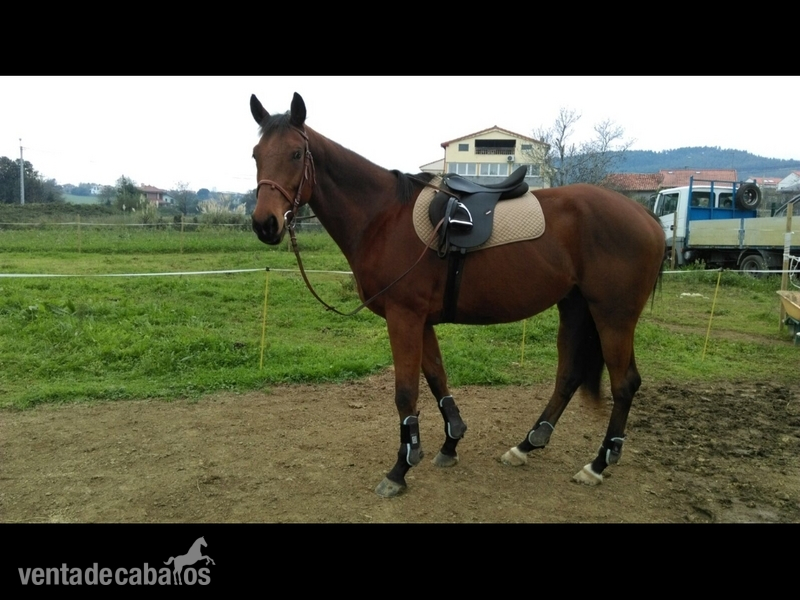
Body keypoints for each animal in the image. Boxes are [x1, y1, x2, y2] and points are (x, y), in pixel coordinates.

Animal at [249, 92, 665, 498]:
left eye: (296, 154)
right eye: (256, 154)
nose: (264, 224)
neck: (383, 217)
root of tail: (646, 217)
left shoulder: (404, 317)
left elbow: (406, 393)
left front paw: (400, 468)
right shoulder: (421, 320)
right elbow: (437, 378)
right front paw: (450, 442)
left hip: (613, 316)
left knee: (624, 383)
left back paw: (597, 465)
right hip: (576, 308)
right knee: (569, 375)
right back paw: (526, 445)